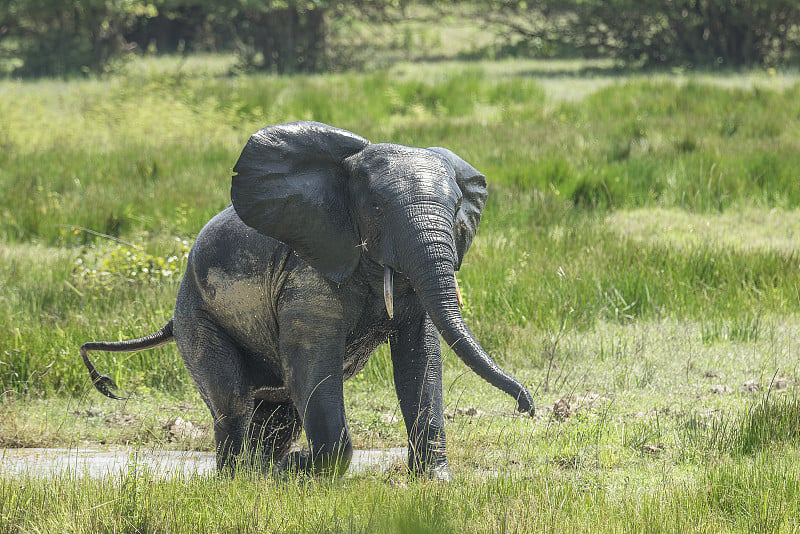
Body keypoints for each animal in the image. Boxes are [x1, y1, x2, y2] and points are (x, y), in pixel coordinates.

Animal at [81, 121, 536, 482]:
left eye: (457, 207)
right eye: (377, 207)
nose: (527, 407)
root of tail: (172, 321)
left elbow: (421, 359)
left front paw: (435, 481)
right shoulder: (305, 274)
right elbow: (313, 361)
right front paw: (300, 467)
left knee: (279, 412)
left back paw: (262, 472)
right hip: (197, 317)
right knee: (232, 401)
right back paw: (241, 478)